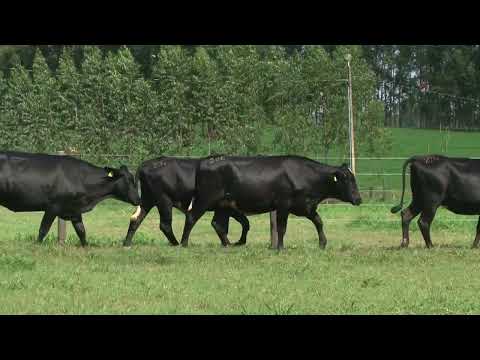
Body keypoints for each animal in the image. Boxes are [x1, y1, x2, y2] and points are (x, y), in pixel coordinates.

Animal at [0, 150, 141, 246]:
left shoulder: (75, 210)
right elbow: (43, 230)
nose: (138, 199)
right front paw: (37, 246)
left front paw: (86, 248)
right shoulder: (52, 207)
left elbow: (82, 232)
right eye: (128, 180)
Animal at [180, 155, 360, 250]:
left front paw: (322, 243)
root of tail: (206, 160)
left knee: (217, 224)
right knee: (191, 217)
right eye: (347, 179)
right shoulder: (283, 204)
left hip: (223, 205)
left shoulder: (305, 206)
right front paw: (280, 247)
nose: (359, 199)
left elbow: (318, 221)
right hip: (205, 199)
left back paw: (228, 244)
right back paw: (184, 244)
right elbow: (281, 227)